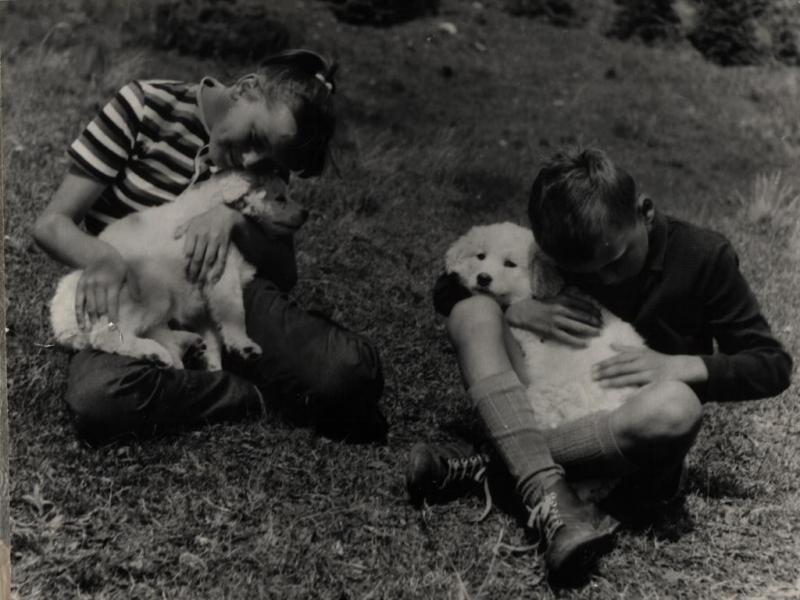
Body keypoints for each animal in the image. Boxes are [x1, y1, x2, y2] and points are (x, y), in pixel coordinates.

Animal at [49, 169, 306, 372]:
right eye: (280, 198)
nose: (306, 214)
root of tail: (62, 321)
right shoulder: (220, 275)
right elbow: (234, 311)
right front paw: (243, 344)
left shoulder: (202, 296)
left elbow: (213, 330)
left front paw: (214, 364)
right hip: (151, 290)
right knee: (108, 336)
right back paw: (157, 353)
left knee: (157, 332)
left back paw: (183, 346)